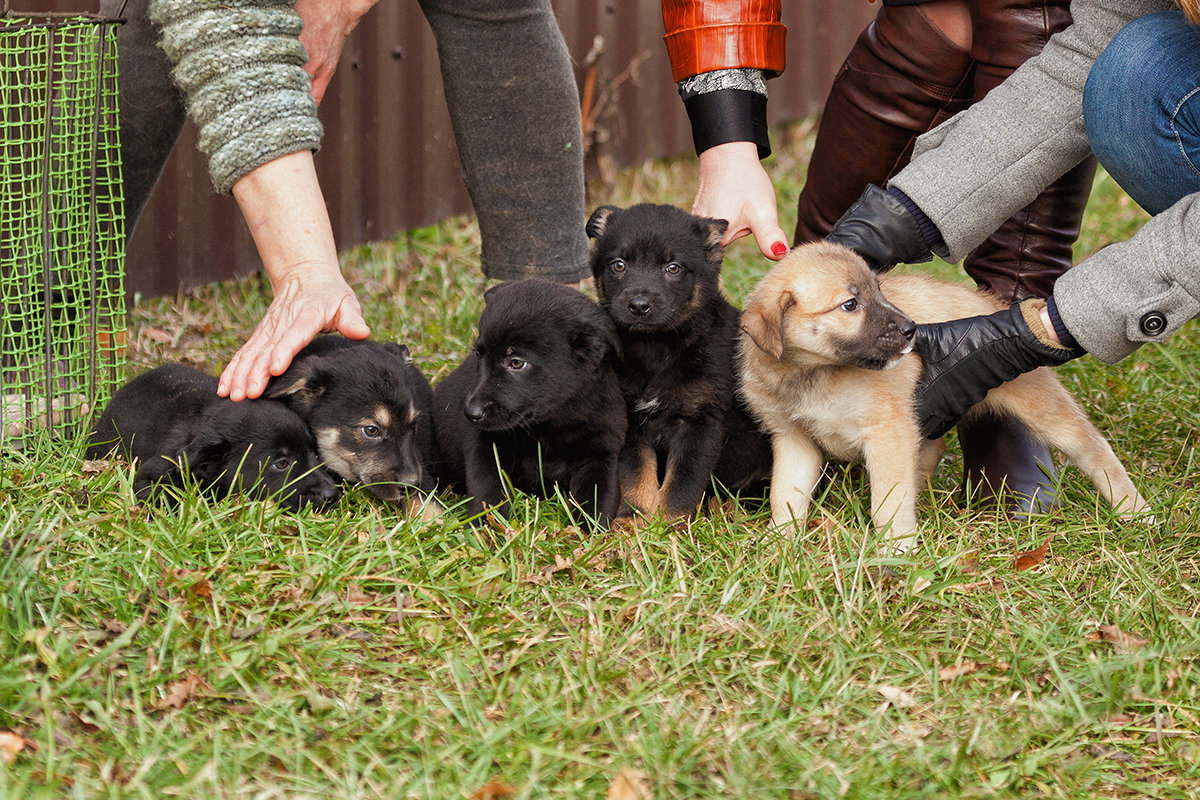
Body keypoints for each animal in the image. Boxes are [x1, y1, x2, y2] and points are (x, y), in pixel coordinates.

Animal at [432, 278, 624, 527]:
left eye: (516, 363)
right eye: (478, 355)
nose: (470, 413)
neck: (549, 427)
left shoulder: (600, 454)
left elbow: (597, 499)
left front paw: (585, 530)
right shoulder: (486, 447)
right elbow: (487, 489)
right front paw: (485, 525)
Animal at [585, 203, 772, 520]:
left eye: (673, 268)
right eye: (619, 265)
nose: (639, 306)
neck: (656, 347)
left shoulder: (700, 421)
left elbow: (682, 481)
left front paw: (669, 522)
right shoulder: (630, 419)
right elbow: (635, 473)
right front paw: (633, 518)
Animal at [739, 244, 1152, 554]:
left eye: (879, 291)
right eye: (850, 305)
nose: (912, 330)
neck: (813, 374)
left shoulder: (886, 432)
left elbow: (888, 500)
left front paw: (896, 547)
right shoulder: (795, 440)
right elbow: (785, 495)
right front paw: (780, 542)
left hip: (1046, 408)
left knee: (1095, 450)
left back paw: (1134, 510)